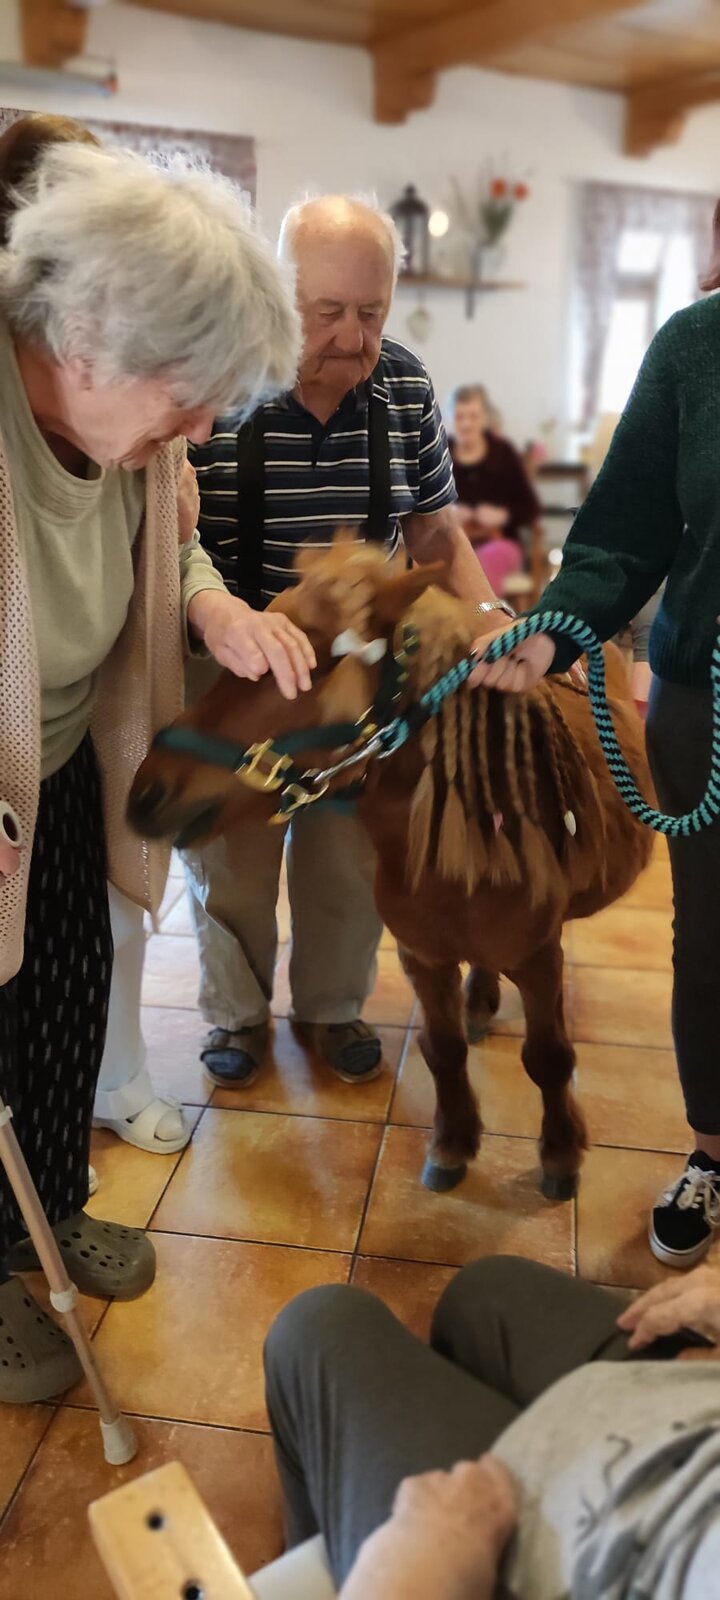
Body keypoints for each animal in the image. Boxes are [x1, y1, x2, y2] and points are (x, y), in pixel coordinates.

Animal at [128, 539, 654, 1200]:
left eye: (309, 667)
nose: (145, 795)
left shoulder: (540, 958)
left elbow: (550, 1057)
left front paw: (560, 1156)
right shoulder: (423, 956)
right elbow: (444, 1049)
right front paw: (453, 1143)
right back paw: (479, 1003)